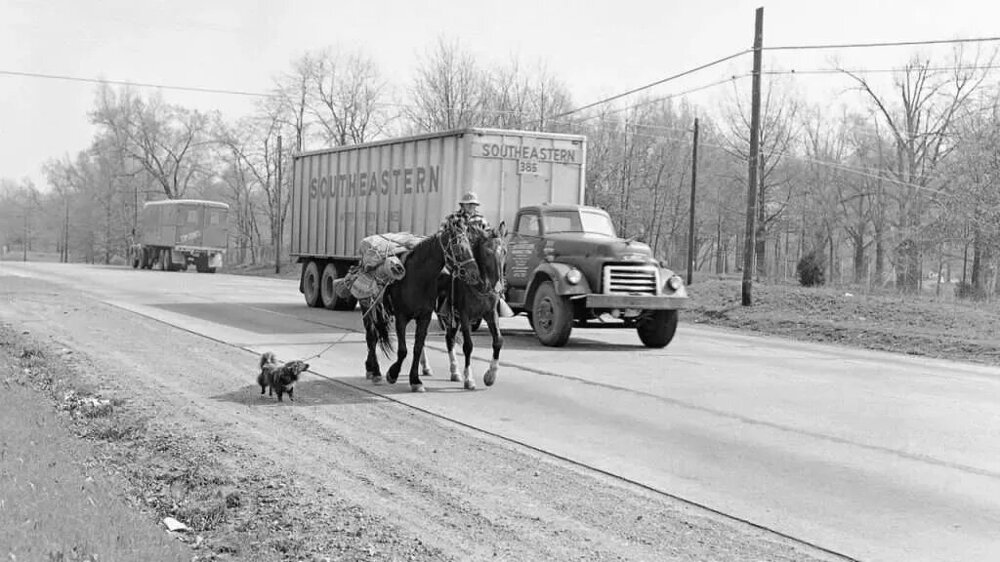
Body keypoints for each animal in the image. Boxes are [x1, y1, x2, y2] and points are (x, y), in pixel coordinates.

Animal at [364, 221, 480, 392]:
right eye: (458, 247)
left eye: (470, 246)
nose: (475, 274)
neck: (418, 277)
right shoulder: (401, 317)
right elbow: (403, 350)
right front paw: (392, 374)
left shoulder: (424, 317)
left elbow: (417, 348)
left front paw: (415, 380)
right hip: (369, 309)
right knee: (371, 337)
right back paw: (376, 371)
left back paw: (371, 368)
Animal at [436, 221, 508, 388]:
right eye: (487, 253)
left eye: (504, 252)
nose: (499, 286)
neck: (480, 284)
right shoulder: (464, 315)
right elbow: (468, 345)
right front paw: (469, 379)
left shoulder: (491, 313)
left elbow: (498, 341)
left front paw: (491, 375)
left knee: (449, 339)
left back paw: (455, 371)